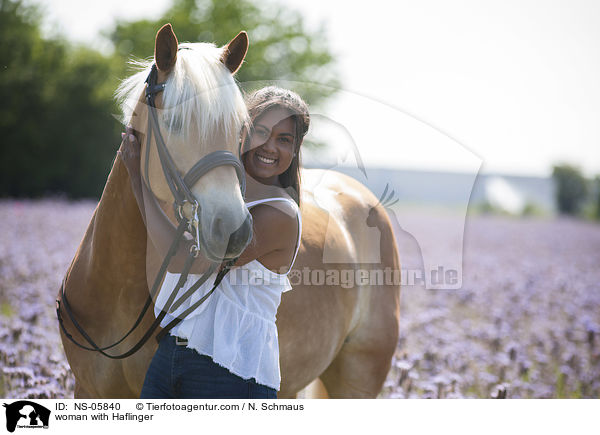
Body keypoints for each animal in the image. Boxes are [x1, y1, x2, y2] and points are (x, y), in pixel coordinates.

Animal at [58, 23, 400, 398]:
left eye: (241, 128)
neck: (116, 285)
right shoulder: (87, 389)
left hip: (357, 377)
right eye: (174, 122)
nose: (234, 230)